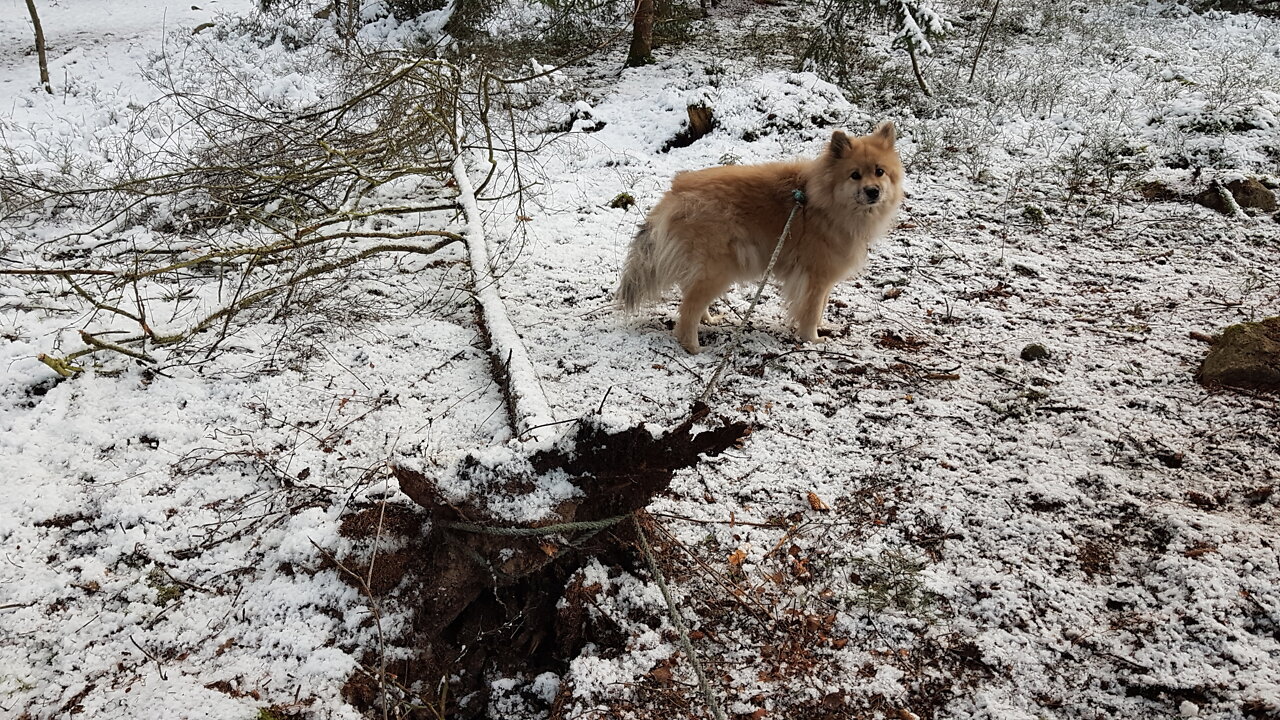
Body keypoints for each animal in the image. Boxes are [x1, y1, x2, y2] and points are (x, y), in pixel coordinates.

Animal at [616, 121, 901, 351]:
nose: (873, 191)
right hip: (717, 270)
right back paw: (694, 348)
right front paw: (812, 339)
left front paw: (823, 327)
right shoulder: (815, 277)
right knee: (688, 310)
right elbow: (811, 311)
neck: (822, 200)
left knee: (691, 298)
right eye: (855, 175)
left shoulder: (824, 279)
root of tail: (676, 193)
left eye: (880, 172)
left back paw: (709, 320)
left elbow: (820, 308)